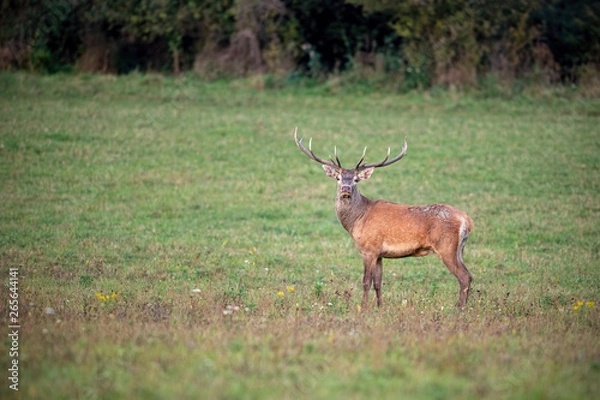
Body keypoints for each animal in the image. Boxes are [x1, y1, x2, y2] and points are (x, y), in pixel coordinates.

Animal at [294, 127, 474, 310]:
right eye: (338, 178)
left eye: (356, 179)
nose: (345, 188)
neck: (357, 220)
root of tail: (466, 219)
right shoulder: (380, 253)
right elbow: (378, 282)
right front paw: (380, 307)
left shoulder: (369, 249)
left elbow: (366, 281)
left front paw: (363, 308)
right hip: (460, 248)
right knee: (469, 275)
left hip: (446, 246)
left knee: (464, 277)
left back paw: (460, 309)